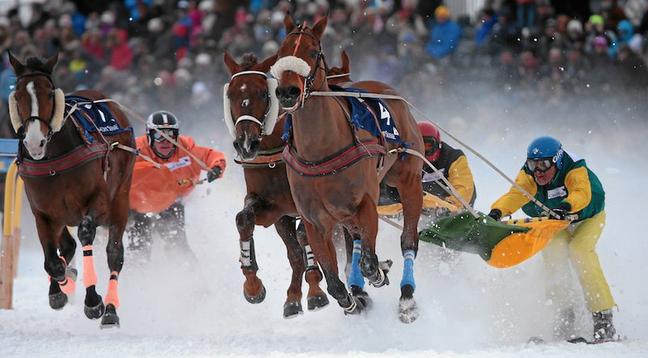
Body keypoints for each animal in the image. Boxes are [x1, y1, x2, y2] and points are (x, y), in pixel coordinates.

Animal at [7, 53, 135, 328]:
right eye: (19, 95)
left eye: (48, 93)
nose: (35, 142)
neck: (53, 161)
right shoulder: (43, 212)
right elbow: (52, 260)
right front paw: (60, 286)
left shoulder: (99, 200)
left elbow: (87, 233)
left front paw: (93, 301)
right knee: (66, 245)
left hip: (121, 195)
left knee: (114, 253)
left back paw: (110, 309)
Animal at [270, 16, 426, 322]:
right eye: (281, 52)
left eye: (312, 51)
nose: (287, 92)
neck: (320, 151)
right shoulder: (315, 221)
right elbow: (333, 280)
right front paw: (353, 300)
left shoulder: (365, 204)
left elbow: (368, 261)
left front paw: (377, 272)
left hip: (409, 179)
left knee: (408, 241)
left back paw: (407, 296)